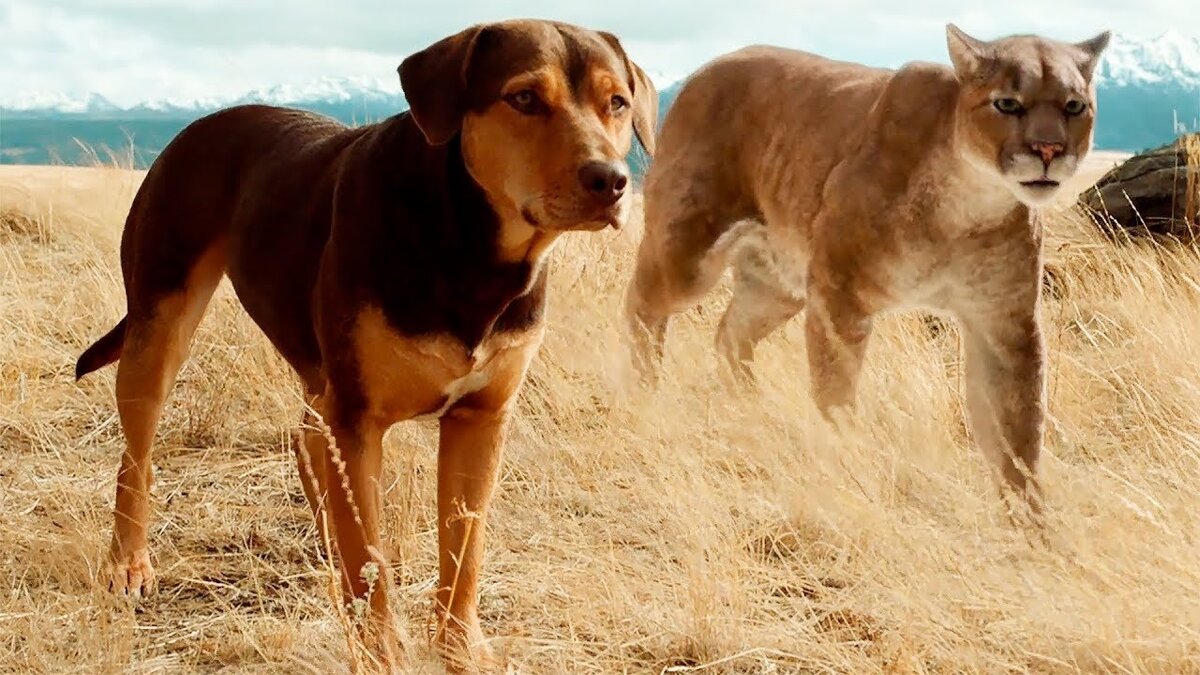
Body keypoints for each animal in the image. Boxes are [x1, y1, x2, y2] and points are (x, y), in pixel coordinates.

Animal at [75, 18, 657, 667]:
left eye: (618, 103)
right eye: (525, 97)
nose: (611, 181)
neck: (472, 250)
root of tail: (199, 124)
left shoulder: (480, 419)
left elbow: (465, 549)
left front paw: (461, 649)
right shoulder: (358, 419)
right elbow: (368, 561)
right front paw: (381, 654)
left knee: (306, 434)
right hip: (159, 323)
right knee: (137, 454)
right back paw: (128, 563)